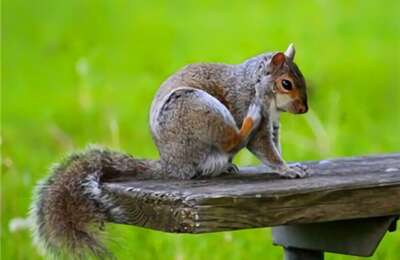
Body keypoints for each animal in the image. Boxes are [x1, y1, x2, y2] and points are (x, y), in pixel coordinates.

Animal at [30, 43, 310, 258]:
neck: (255, 83)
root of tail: (173, 164)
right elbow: (264, 148)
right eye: (286, 83)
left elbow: (274, 146)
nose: (304, 109)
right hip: (199, 109)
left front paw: (290, 166)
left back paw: (227, 167)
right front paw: (286, 170)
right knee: (232, 141)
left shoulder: (273, 124)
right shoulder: (249, 106)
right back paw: (244, 129)